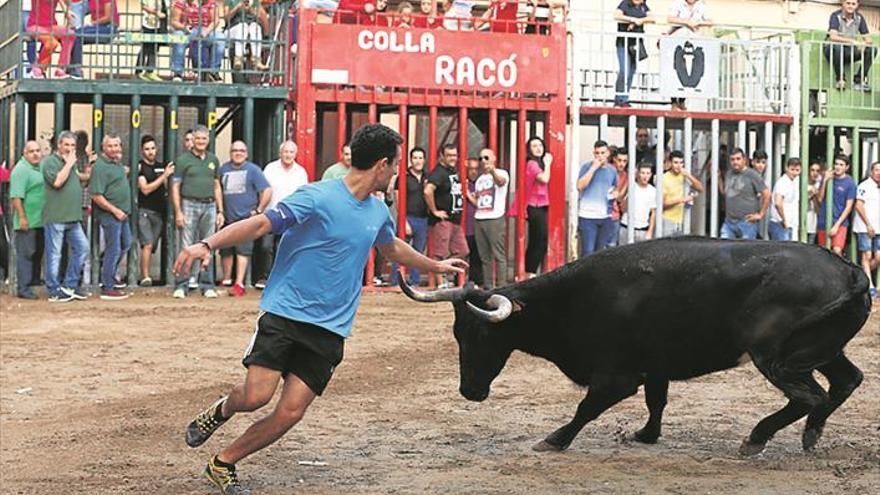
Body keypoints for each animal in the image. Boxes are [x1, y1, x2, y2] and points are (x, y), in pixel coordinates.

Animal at [402, 238, 868, 456]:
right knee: (846, 381)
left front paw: (554, 439)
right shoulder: (654, 367)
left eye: (483, 334)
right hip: (819, 350)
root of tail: (849, 270)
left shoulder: (617, 377)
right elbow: (656, 401)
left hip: (775, 357)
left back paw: (757, 439)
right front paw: (647, 435)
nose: (469, 391)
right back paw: (811, 434)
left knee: (809, 395)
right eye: (457, 333)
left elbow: (586, 408)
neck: (575, 298)